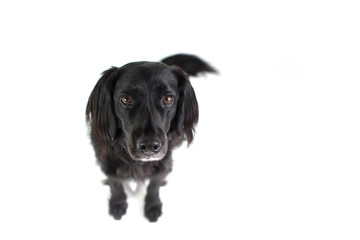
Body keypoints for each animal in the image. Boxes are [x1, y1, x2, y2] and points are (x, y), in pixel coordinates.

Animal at [86, 54, 217, 221]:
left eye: (168, 99)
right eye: (126, 99)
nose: (149, 146)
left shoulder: (164, 161)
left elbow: (154, 183)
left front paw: (152, 205)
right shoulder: (106, 161)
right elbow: (115, 183)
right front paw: (117, 203)